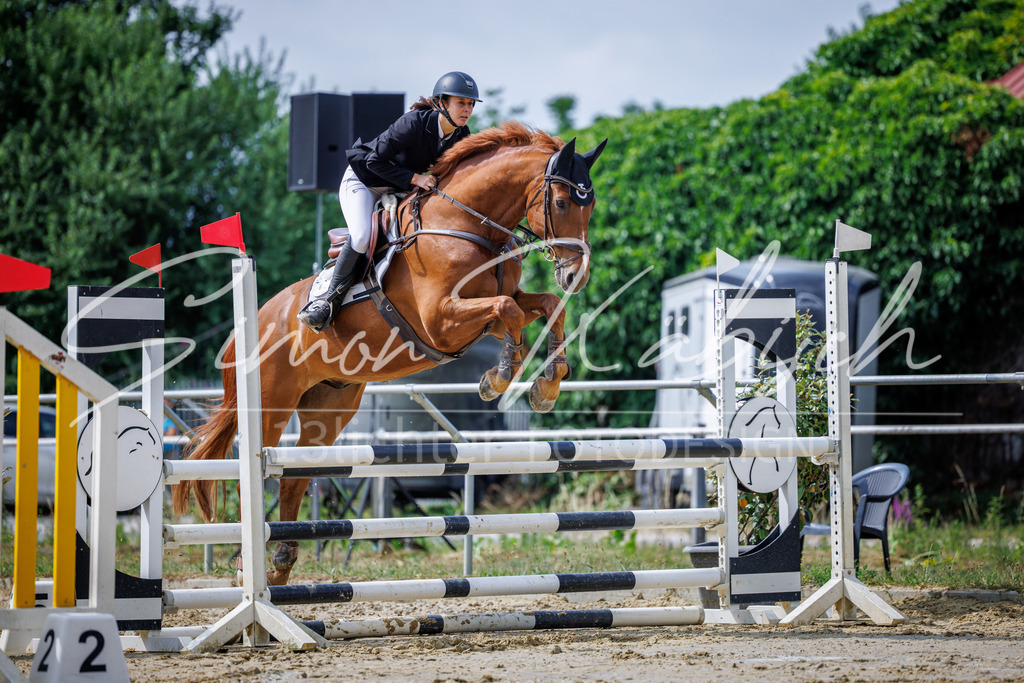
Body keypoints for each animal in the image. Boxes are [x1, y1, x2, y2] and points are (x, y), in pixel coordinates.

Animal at [172, 121, 607, 585]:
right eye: (561, 202)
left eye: (590, 204)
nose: (577, 275)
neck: (464, 225)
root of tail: (247, 327)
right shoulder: (441, 320)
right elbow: (507, 310)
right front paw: (499, 377)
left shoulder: (491, 308)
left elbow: (547, 305)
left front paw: (548, 386)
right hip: (271, 404)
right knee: (252, 475)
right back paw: (246, 568)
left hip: (329, 407)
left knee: (292, 479)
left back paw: (280, 566)